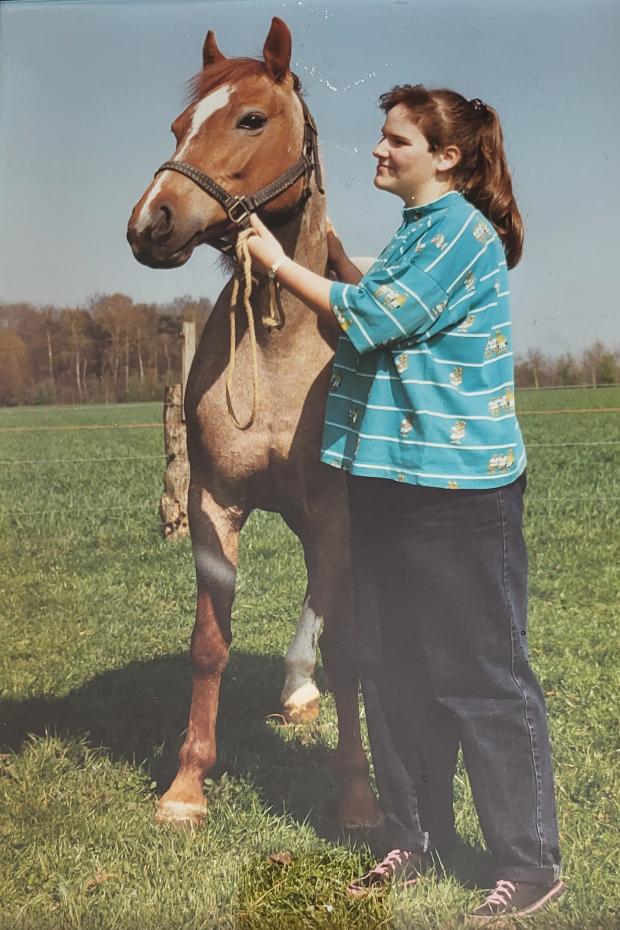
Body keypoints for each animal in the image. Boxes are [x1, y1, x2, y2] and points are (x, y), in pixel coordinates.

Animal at [127, 14, 378, 828]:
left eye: (251, 119)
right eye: (180, 125)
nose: (152, 221)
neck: (275, 355)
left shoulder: (334, 508)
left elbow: (352, 647)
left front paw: (357, 796)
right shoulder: (214, 505)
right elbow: (210, 643)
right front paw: (185, 788)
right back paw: (296, 688)